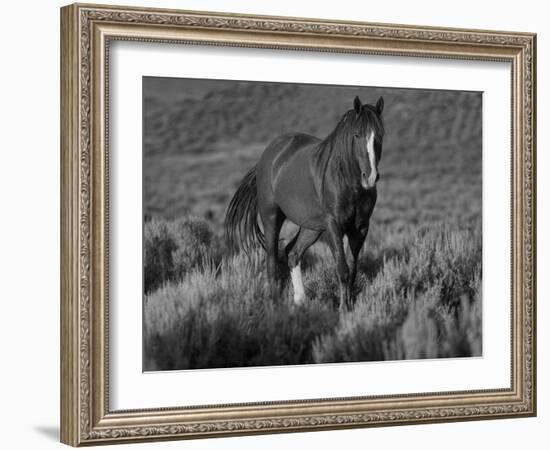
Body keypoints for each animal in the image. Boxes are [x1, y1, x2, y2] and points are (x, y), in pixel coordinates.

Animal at [223, 95, 384, 310]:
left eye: (379, 136)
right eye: (357, 135)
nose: (370, 177)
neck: (347, 181)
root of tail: (268, 154)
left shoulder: (360, 228)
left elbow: (352, 270)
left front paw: (349, 306)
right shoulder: (334, 226)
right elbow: (342, 269)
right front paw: (343, 309)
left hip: (311, 227)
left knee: (292, 254)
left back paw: (300, 300)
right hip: (272, 217)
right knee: (272, 261)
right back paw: (274, 303)